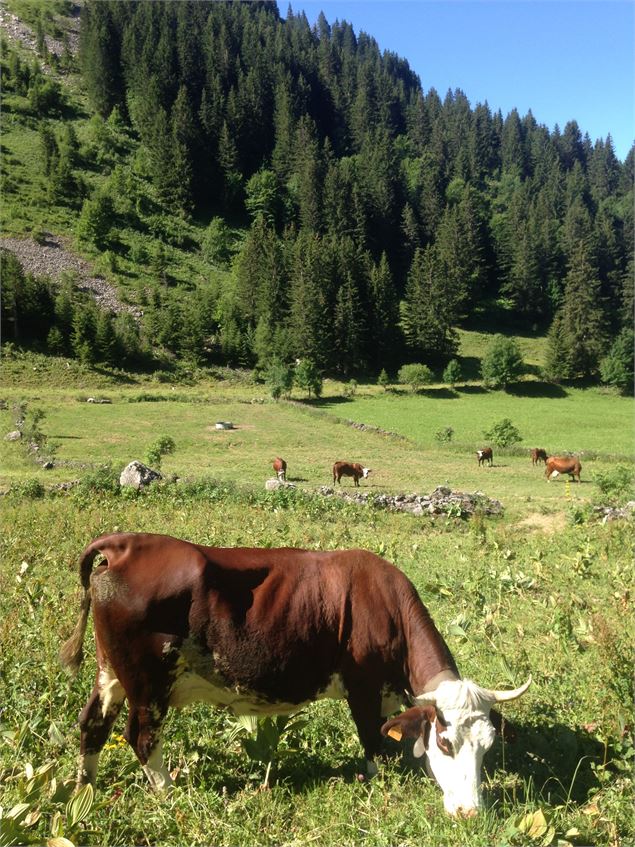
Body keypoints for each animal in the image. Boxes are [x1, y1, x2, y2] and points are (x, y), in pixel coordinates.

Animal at [60, 532, 532, 820]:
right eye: (445, 743)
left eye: (488, 746)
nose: (470, 812)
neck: (386, 605)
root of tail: (124, 544)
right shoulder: (362, 687)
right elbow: (372, 741)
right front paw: (377, 783)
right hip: (148, 685)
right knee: (140, 736)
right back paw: (168, 793)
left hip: (110, 674)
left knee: (92, 725)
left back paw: (84, 790)